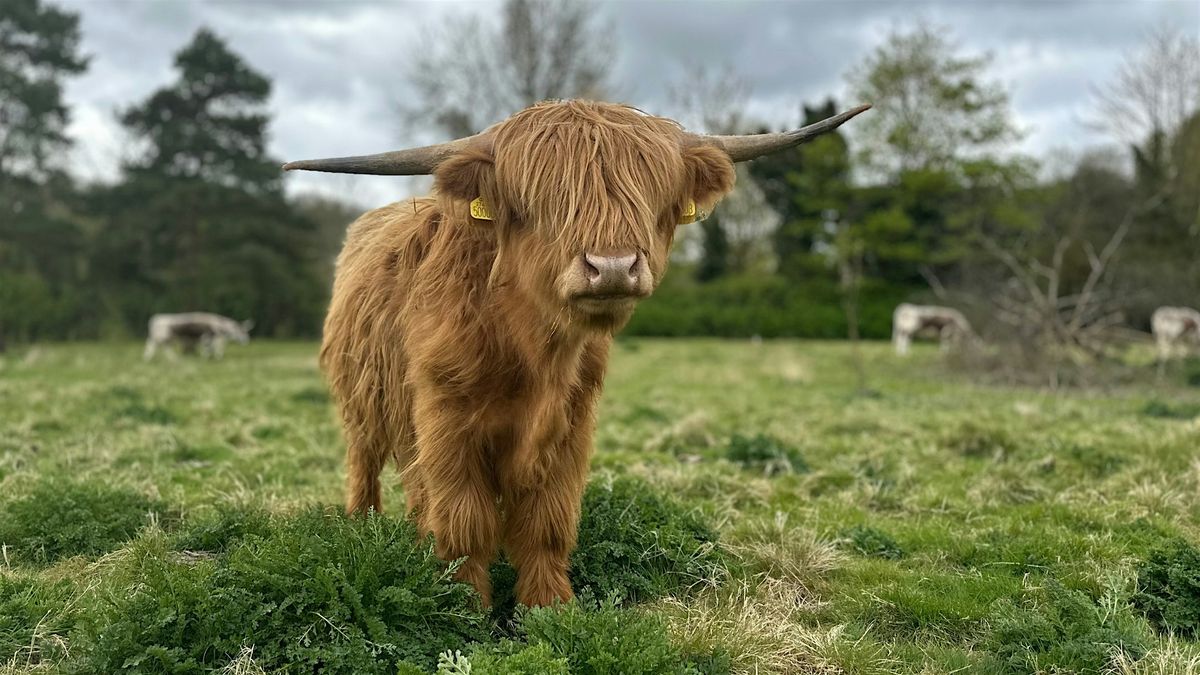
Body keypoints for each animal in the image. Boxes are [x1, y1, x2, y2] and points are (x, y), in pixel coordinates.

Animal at [290, 96, 873, 605]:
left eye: (647, 194)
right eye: (538, 202)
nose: (612, 266)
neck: (533, 351)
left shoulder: (571, 423)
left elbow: (547, 521)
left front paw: (549, 607)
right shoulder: (446, 421)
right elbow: (463, 519)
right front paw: (464, 605)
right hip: (362, 402)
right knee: (365, 463)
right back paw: (363, 526)